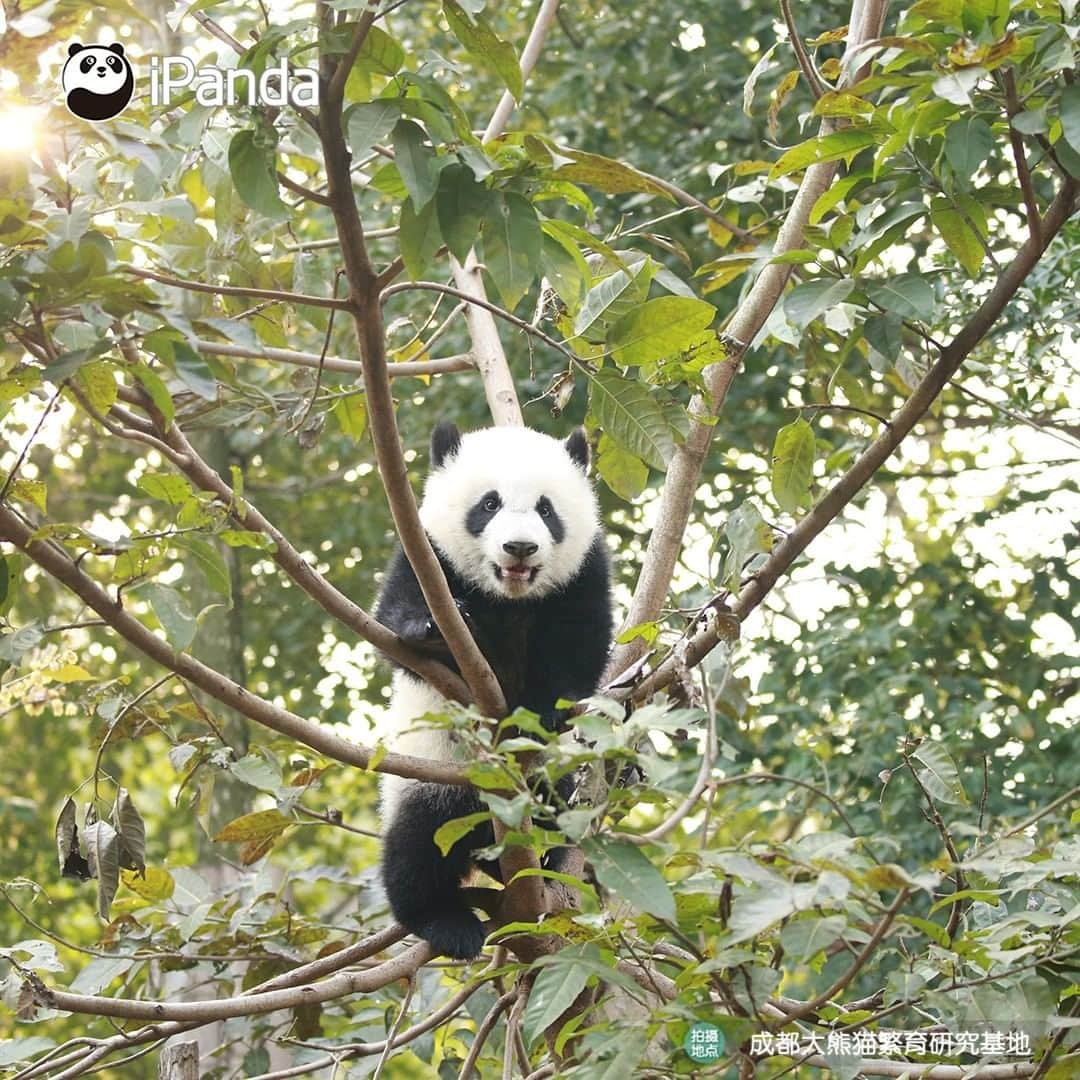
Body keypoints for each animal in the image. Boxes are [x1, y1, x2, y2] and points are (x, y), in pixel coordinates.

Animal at [373, 423, 613, 963]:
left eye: (546, 509)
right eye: (488, 504)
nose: (520, 547)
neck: (509, 599)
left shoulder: (583, 575)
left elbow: (581, 650)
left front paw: (540, 714)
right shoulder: (424, 556)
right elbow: (395, 625)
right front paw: (432, 630)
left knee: (553, 804)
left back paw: (545, 851)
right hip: (437, 772)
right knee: (419, 842)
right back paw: (444, 922)